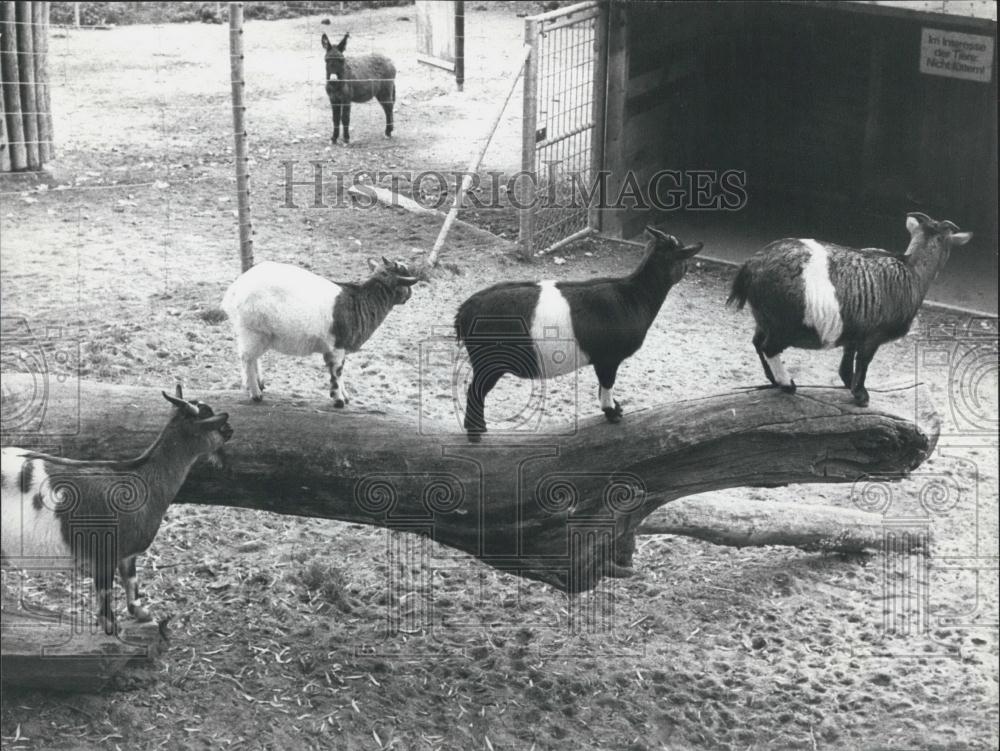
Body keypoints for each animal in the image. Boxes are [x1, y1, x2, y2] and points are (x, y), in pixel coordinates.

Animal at [0, 388, 230, 636]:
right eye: (212, 421)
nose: (231, 430)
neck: (143, 480)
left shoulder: (126, 553)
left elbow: (131, 579)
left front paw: (140, 612)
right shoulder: (105, 550)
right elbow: (105, 590)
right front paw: (110, 625)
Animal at [222, 258, 418, 402]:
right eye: (405, 281)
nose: (409, 296)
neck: (361, 301)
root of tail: (234, 291)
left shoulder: (338, 348)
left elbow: (339, 371)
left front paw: (344, 396)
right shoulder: (338, 345)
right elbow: (337, 372)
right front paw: (339, 399)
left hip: (255, 334)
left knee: (252, 358)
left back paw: (258, 385)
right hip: (253, 331)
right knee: (247, 359)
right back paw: (255, 393)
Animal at [456, 226, 704, 444]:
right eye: (682, 256)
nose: (688, 268)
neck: (633, 296)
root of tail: (465, 311)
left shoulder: (602, 359)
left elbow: (602, 385)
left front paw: (616, 407)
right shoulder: (608, 358)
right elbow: (607, 383)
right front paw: (612, 412)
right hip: (490, 361)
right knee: (474, 391)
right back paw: (475, 433)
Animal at [732, 212, 972, 408]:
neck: (911, 270)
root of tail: (752, 265)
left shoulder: (853, 333)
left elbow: (847, 362)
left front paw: (849, 384)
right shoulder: (873, 336)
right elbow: (863, 362)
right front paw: (861, 395)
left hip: (764, 318)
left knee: (757, 342)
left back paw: (773, 380)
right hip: (784, 325)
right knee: (769, 347)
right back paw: (787, 384)